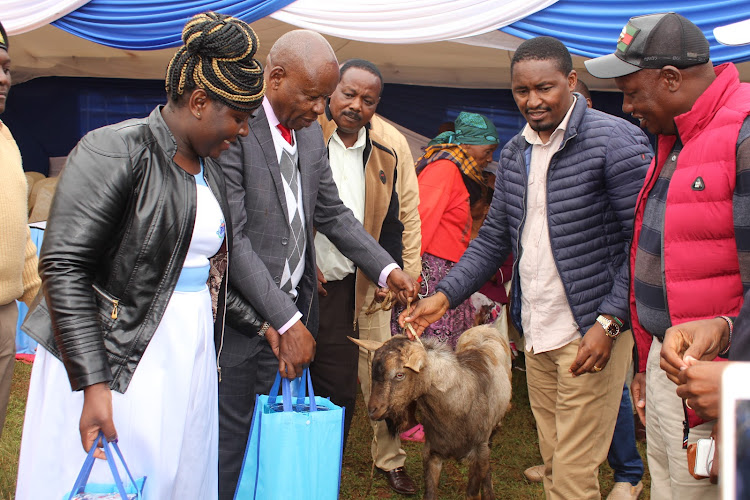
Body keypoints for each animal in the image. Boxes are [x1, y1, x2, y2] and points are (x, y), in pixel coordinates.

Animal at [352, 322, 512, 498]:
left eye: (400, 374)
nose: (373, 410)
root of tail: (485, 327)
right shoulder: (431, 452)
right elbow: (430, 493)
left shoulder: (480, 452)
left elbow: (472, 491)